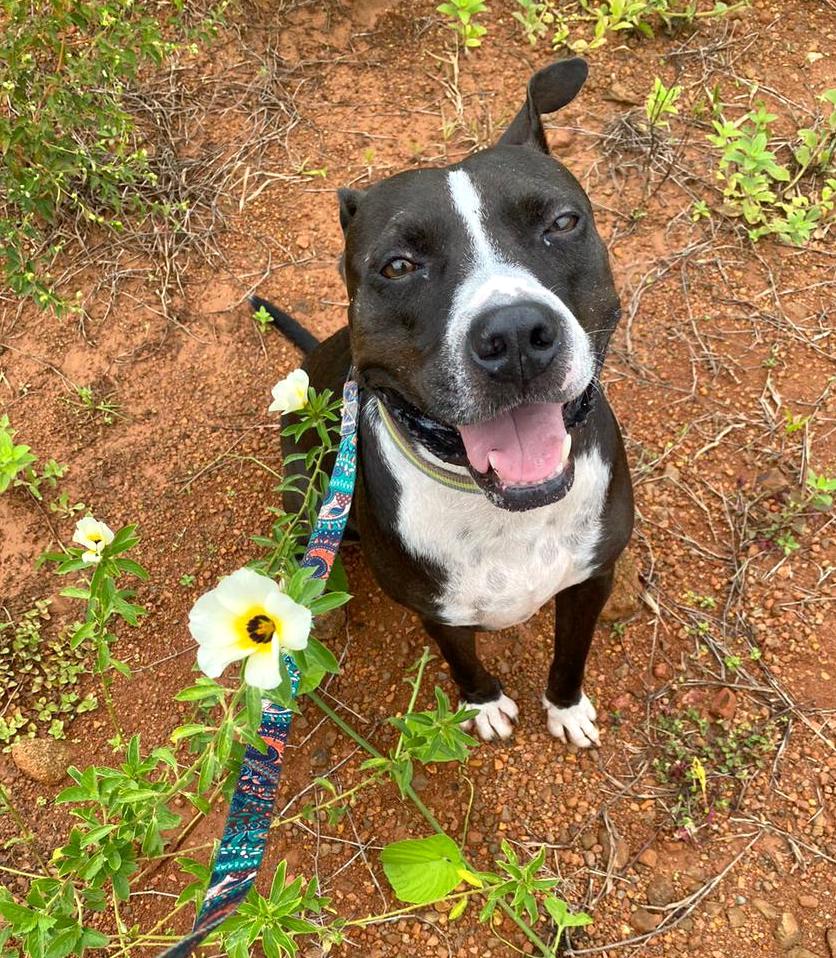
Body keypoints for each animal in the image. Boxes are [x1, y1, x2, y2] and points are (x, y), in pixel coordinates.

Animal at [255, 58, 632, 752]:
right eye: (399, 265)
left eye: (563, 223)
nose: (515, 335)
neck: (501, 512)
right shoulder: (439, 612)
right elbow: (464, 661)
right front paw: (482, 703)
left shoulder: (594, 578)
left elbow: (571, 654)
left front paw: (566, 708)